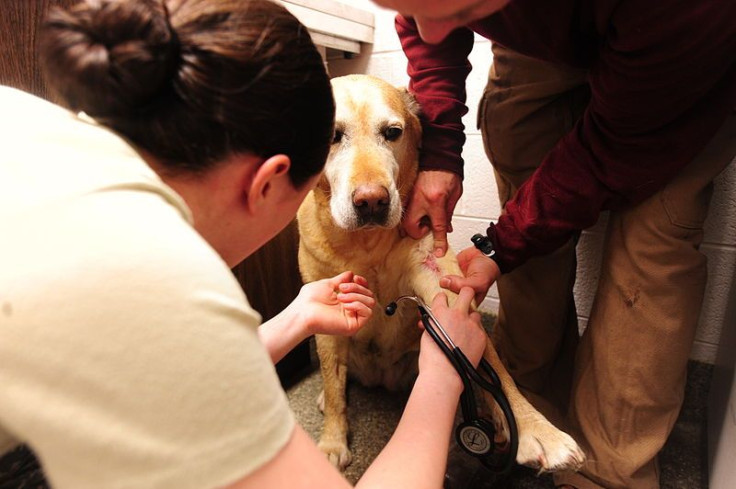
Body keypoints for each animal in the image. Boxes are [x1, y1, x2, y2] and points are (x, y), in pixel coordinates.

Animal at [296, 74, 584, 470]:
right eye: (334, 136)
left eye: (393, 132)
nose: (372, 202)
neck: (368, 245)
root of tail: (380, 378)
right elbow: (334, 385)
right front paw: (331, 443)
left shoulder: (443, 286)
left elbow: (495, 366)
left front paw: (534, 428)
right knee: (333, 376)